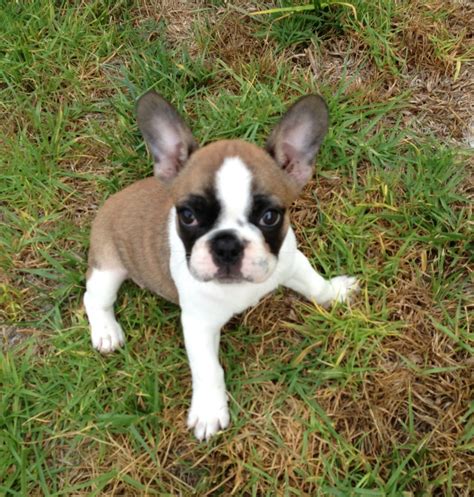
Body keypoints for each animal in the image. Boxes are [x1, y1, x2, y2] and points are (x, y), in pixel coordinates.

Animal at [84, 91, 360, 440]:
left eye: (270, 216)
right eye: (188, 215)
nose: (227, 244)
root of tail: (114, 198)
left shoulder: (290, 262)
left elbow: (314, 284)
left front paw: (335, 293)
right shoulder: (199, 325)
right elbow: (208, 369)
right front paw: (208, 411)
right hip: (108, 268)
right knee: (94, 298)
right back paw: (106, 332)